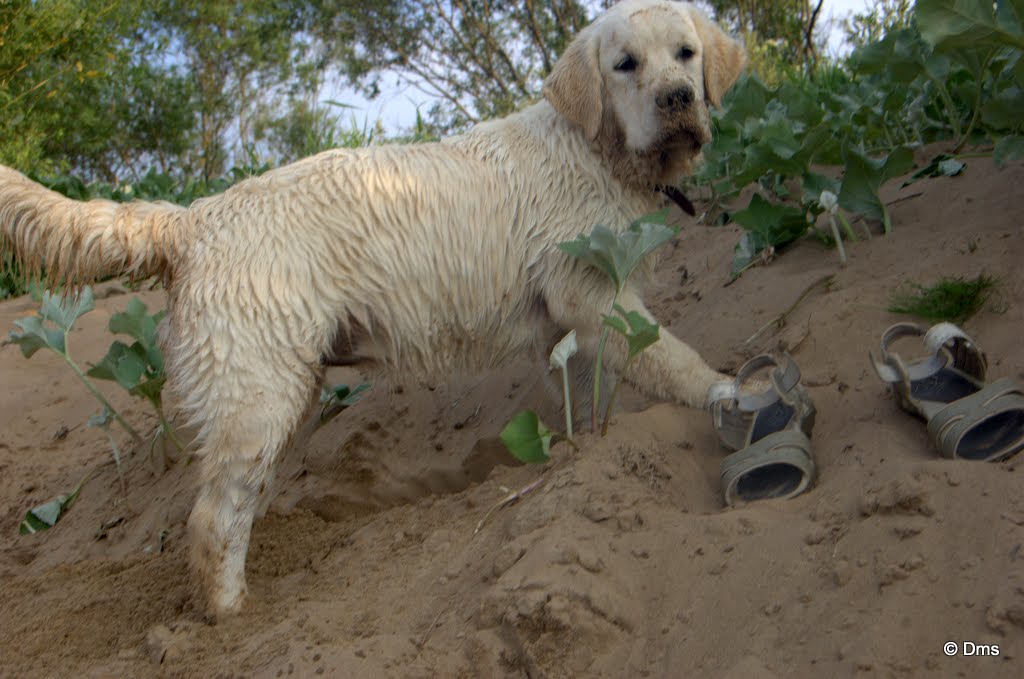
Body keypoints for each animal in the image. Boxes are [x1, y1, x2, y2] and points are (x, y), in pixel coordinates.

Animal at [0, 0, 745, 617]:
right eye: (625, 64)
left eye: (685, 53)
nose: (678, 98)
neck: (595, 148)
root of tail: (192, 217)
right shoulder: (591, 290)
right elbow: (670, 356)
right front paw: (728, 393)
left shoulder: (572, 319)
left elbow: (586, 387)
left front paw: (588, 447)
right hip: (257, 392)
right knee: (210, 520)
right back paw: (229, 613)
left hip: (278, 391)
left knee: (238, 501)